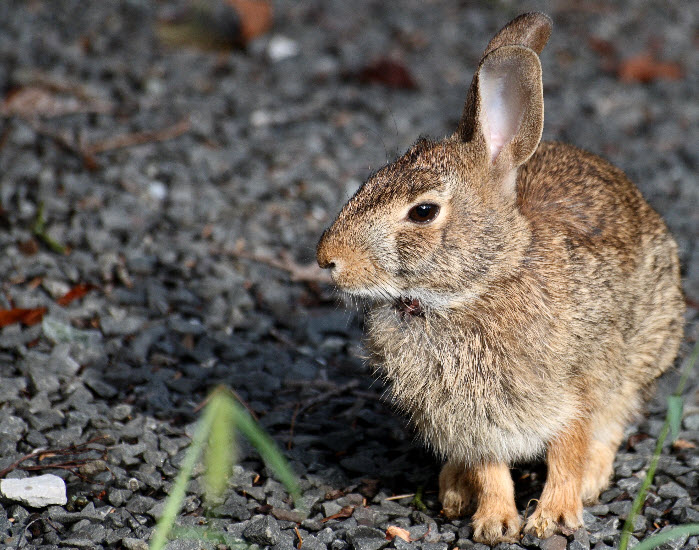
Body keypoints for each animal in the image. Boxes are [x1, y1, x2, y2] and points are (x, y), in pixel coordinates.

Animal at [316, 11, 684, 545]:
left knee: (614, 421)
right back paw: (454, 489)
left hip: (643, 354)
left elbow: (568, 452)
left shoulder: (575, 388)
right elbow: (490, 469)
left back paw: (591, 480)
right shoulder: (474, 423)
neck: (476, 287)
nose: (327, 258)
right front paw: (495, 523)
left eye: (423, 212)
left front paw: (554, 517)